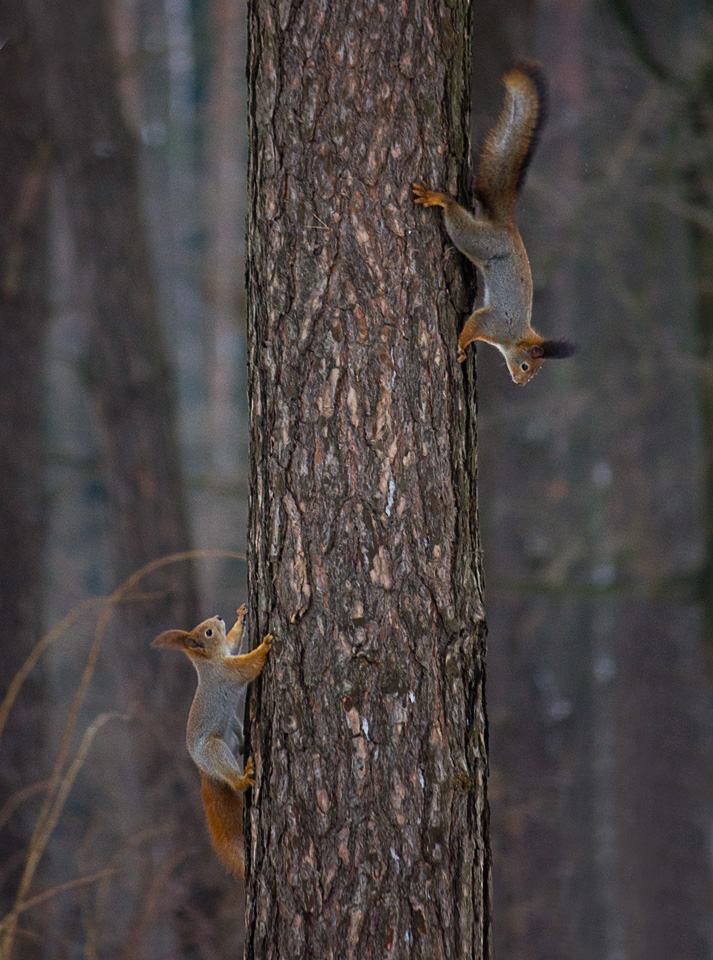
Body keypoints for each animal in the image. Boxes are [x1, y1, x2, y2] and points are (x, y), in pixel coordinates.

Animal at [152, 608, 272, 876]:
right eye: (207, 633)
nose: (218, 618)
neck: (208, 661)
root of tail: (205, 770)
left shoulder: (227, 653)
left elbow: (233, 642)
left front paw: (241, 618)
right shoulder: (227, 672)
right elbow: (247, 666)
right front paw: (264, 646)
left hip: (232, 730)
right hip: (213, 749)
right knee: (234, 778)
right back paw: (243, 778)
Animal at [412, 58, 572, 382]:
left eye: (532, 373)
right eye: (526, 366)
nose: (521, 384)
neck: (515, 336)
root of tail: (506, 225)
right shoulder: (495, 322)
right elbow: (473, 326)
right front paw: (461, 347)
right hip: (478, 241)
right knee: (457, 221)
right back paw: (440, 199)